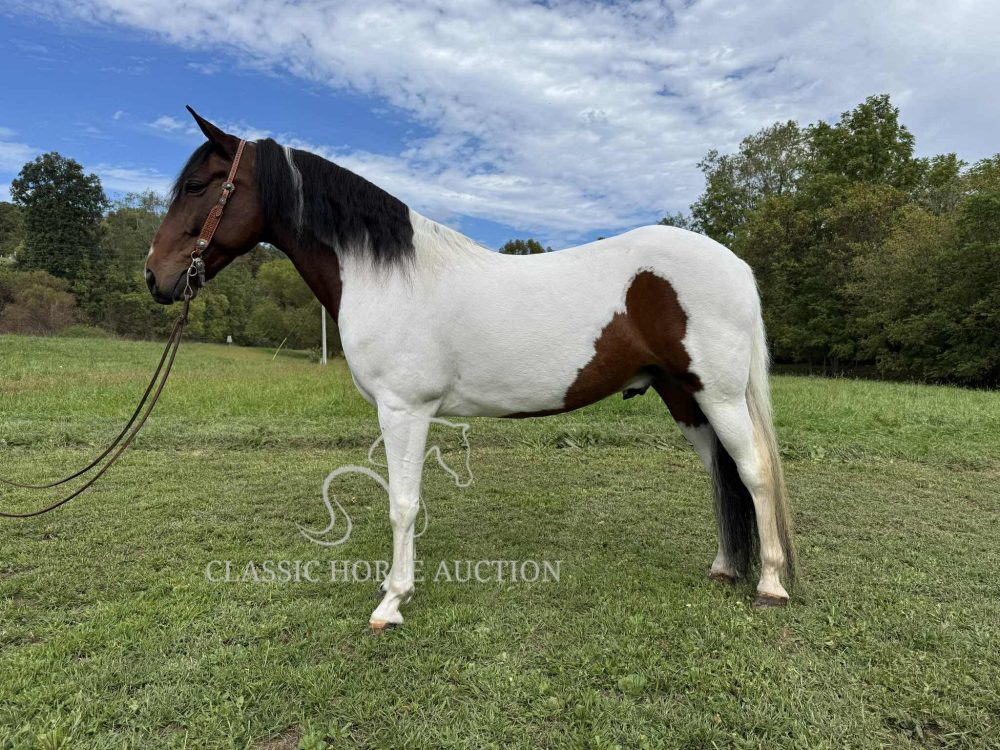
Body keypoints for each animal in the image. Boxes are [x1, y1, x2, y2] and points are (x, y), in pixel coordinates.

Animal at [146, 107, 795, 629]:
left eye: (199, 185)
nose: (155, 277)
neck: (387, 275)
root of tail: (735, 263)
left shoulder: (404, 410)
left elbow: (402, 503)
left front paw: (392, 602)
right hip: (683, 396)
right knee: (720, 475)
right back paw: (723, 568)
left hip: (718, 395)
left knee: (754, 473)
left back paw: (769, 585)